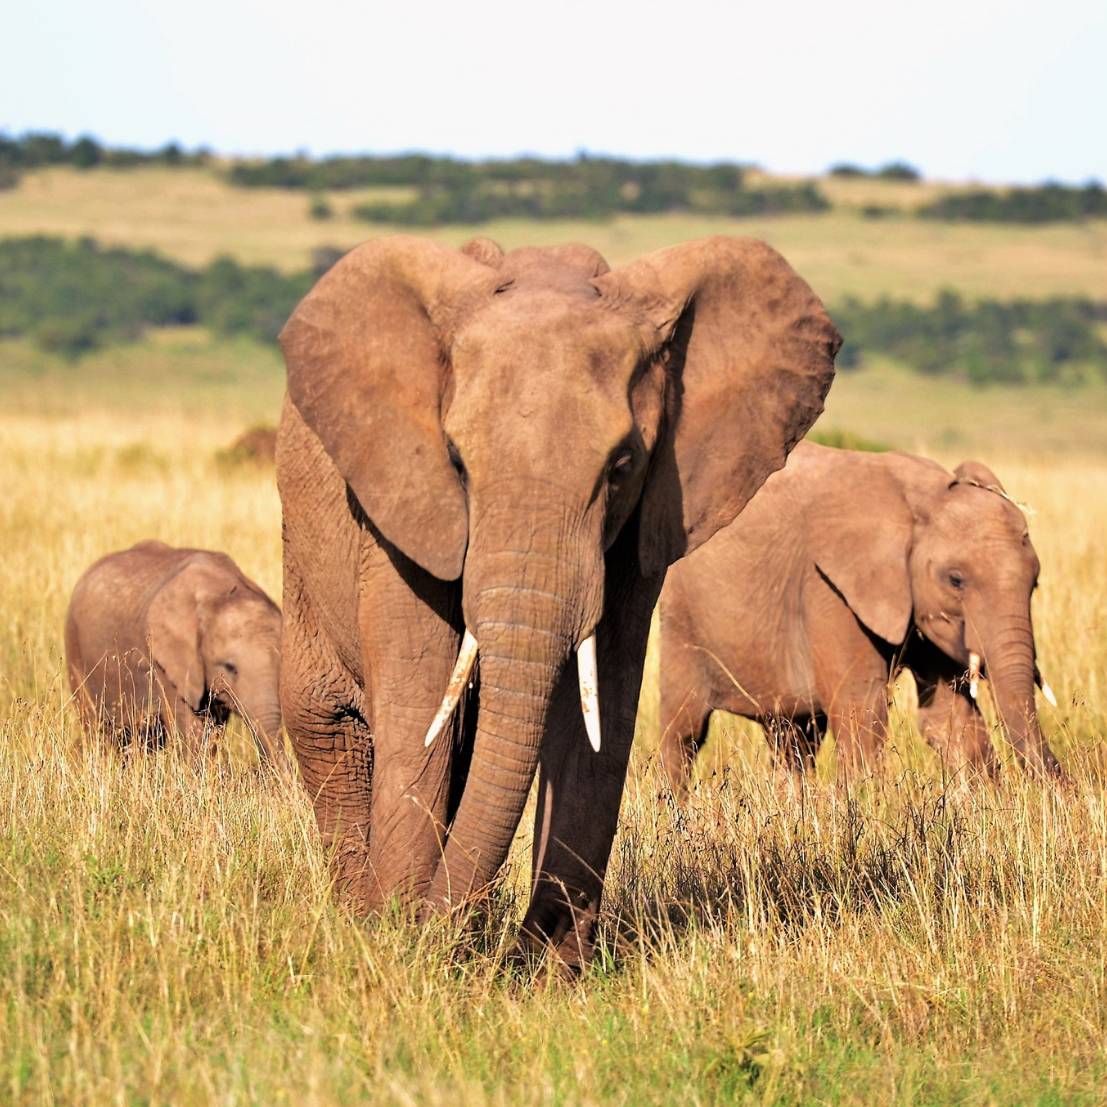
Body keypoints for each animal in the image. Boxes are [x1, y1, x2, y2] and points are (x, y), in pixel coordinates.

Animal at [275, 233, 840, 968]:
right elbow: (420, 698)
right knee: (331, 726)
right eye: (455, 460)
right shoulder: (399, 506)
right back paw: (360, 919)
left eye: (622, 465)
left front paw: (545, 971)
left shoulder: (641, 526)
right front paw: (399, 944)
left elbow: (599, 712)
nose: (432, 929)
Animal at [657, 441, 1062, 788]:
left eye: (1035, 583)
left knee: (794, 738)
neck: (921, 498)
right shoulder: (828, 587)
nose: (1060, 785)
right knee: (684, 731)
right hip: (680, 612)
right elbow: (862, 711)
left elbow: (949, 719)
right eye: (956, 580)